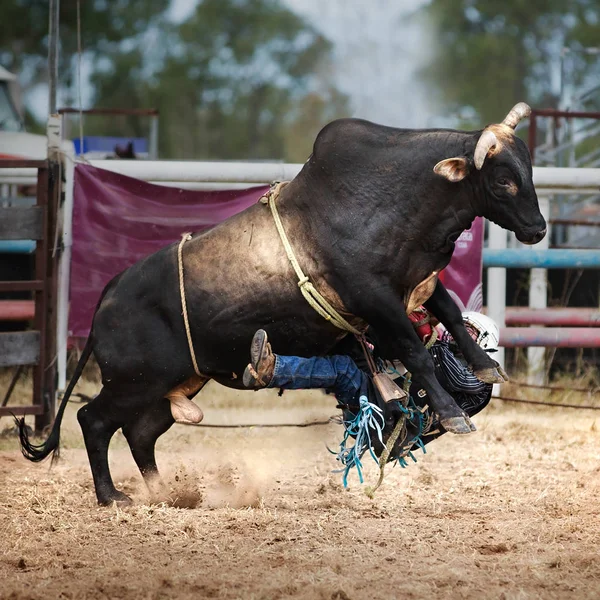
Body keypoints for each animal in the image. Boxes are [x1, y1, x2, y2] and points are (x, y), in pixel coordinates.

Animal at [18, 102, 548, 502]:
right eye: (503, 179)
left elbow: (451, 315)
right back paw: (113, 496)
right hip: (133, 381)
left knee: (140, 434)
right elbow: (417, 352)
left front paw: (485, 365)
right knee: (93, 421)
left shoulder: (417, 280)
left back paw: (165, 491)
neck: (396, 198)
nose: (539, 228)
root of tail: (108, 296)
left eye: (527, 171)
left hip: (171, 384)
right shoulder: (377, 299)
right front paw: (453, 412)